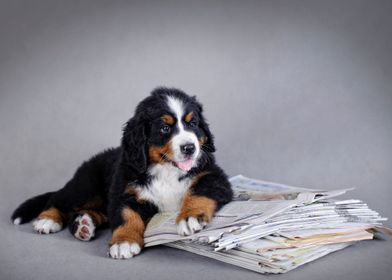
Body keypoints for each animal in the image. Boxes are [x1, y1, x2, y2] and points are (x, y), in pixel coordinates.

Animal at [11, 87, 233, 258]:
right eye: (164, 128)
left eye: (192, 123)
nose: (189, 148)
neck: (166, 170)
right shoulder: (124, 190)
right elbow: (127, 215)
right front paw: (124, 242)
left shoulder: (214, 176)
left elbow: (200, 190)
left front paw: (190, 216)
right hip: (86, 185)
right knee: (59, 198)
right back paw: (48, 219)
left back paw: (84, 224)